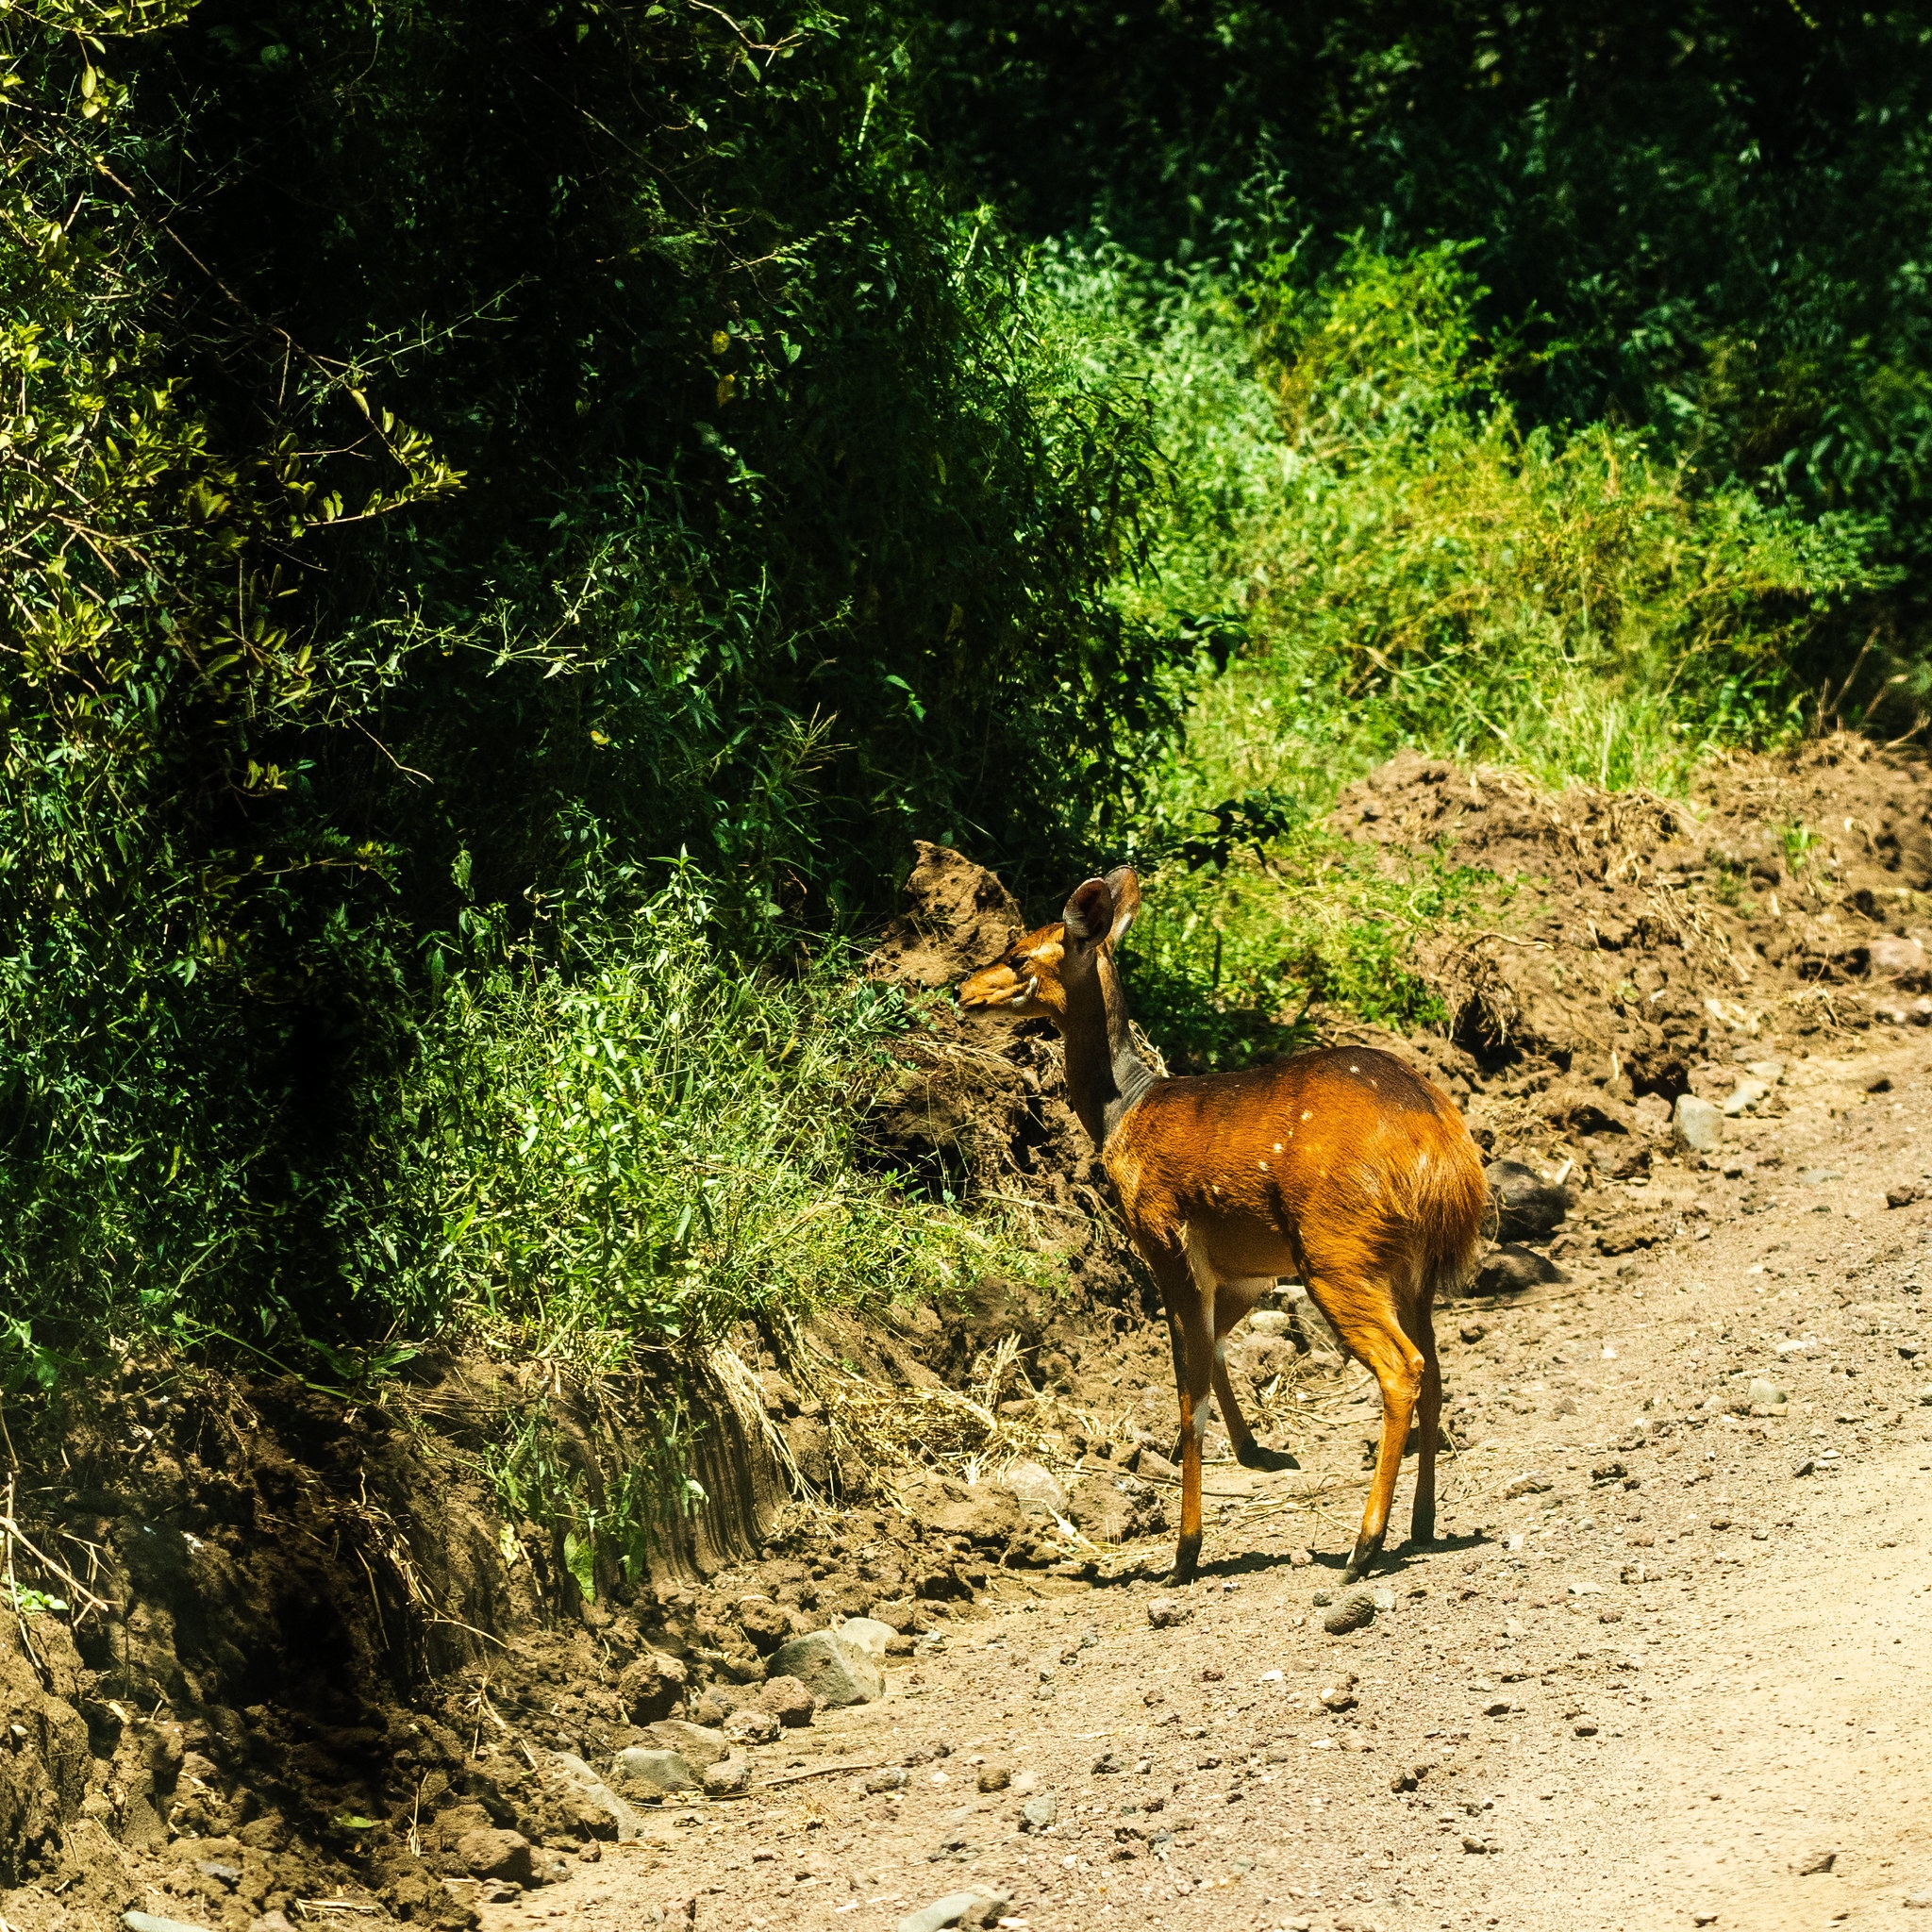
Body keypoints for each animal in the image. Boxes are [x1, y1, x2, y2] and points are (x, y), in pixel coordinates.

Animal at [958, 869, 1483, 1576]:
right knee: (1435, 1371)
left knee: (1403, 1369)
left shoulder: (1166, 1243)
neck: (1124, 1113)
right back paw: (1421, 1526)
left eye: (1018, 956)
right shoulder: (1242, 1269)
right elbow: (1215, 1355)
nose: (962, 990)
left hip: (1334, 1253)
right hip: (1409, 1270)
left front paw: (1185, 1553)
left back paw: (1363, 1546)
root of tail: (1445, 1158)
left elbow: (1189, 1396)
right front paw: (1261, 1453)